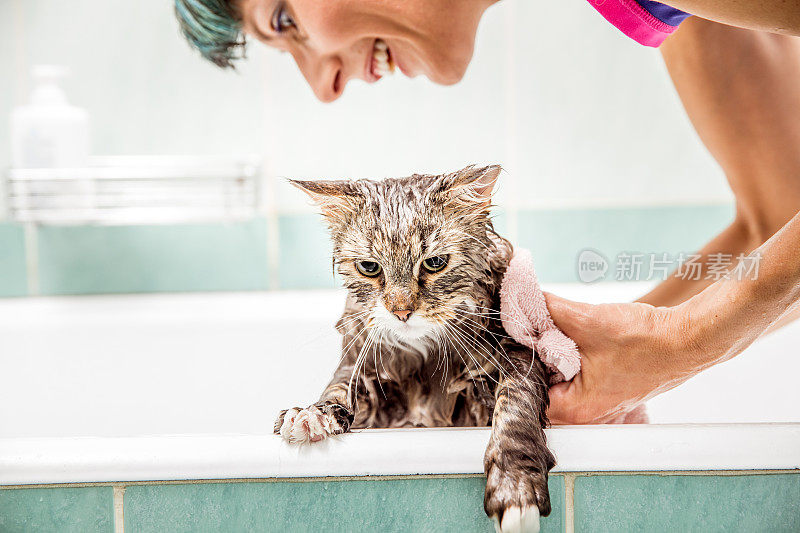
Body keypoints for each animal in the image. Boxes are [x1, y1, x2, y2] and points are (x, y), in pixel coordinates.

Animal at [276, 164, 556, 528]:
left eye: (434, 263)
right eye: (369, 268)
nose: (401, 311)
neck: (424, 358)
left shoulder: (519, 354)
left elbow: (515, 407)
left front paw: (515, 486)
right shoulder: (361, 364)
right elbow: (338, 389)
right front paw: (311, 414)